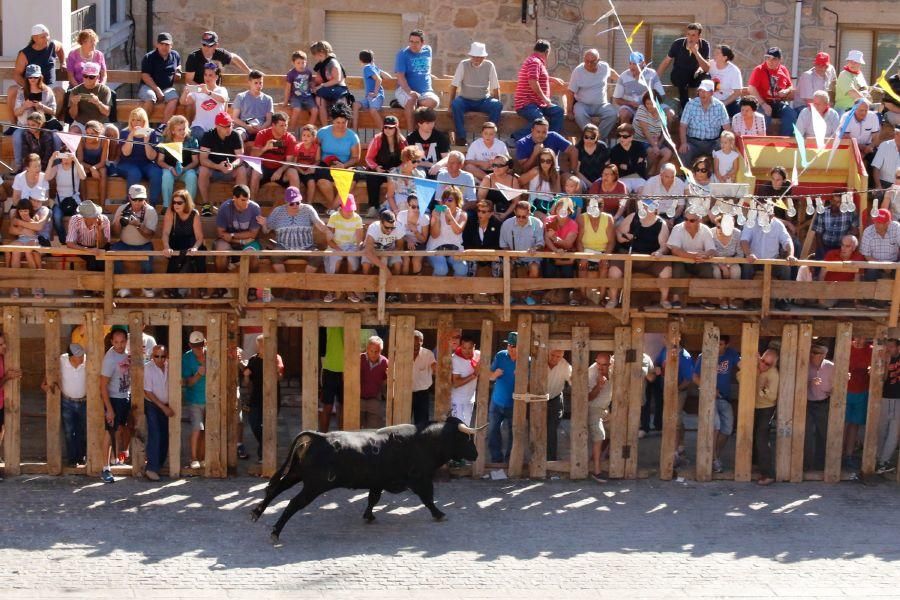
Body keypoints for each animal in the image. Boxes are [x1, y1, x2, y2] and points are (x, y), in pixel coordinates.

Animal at [250, 418, 486, 544]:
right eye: (466, 438)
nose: (476, 454)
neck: (422, 441)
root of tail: (319, 436)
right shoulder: (420, 479)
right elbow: (428, 499)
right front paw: (439, 514)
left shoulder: (378, 482)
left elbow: (373, 499)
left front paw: (369, 516)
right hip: (313, 486)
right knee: (292, 503)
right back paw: (275, 532)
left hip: (296, 474)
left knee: (275, 489)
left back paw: (256, 513)